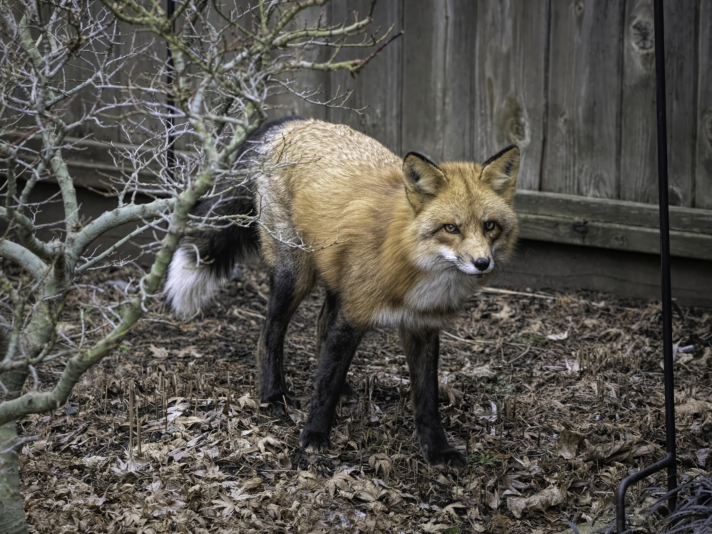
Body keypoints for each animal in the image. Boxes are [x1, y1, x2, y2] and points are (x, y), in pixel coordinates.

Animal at [165, 117, 520, 467]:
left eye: (489, 226)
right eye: (451, 228)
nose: (482, 263)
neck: (407, 260)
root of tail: (289, 122)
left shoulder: (422, 326)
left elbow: (427, 397)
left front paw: (437, 450)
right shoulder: (354, 314)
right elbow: (327, 380)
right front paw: (314, 435)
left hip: (336, 277)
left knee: (322, 324)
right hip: (295, 277)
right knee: (269, 335)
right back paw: (274, 395)